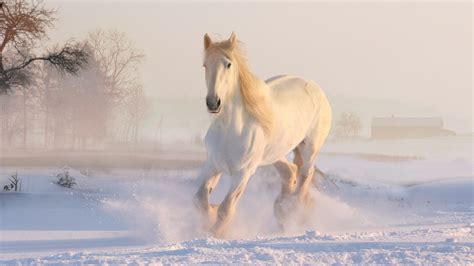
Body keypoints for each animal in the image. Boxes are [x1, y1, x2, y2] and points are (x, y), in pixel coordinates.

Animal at [194, 32, 332, 238]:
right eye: (205, 65)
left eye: (228, 64)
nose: (213, 102)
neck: (230, 130)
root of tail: (315, 88)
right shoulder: (213, 165)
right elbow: (200, 200)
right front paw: (209, 216)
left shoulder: (243, 173)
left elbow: (226, 209)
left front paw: (216, 233)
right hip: (274, 153)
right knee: (290, 171)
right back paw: (282, 210)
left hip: (310, 148)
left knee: (306, 174)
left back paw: (292, 210)